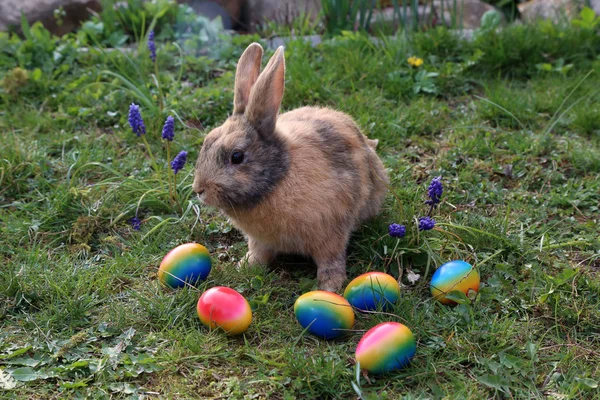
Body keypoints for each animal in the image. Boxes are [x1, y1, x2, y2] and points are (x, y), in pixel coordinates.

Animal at [192, 43, 390, 292]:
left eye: (237, 156)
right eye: (207, 141)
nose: (199, 189)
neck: (277, 180)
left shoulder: (331, 235)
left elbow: (331, 261)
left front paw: (329, 287)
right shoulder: (260, 241)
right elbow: (258, 254)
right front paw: (245, 266)